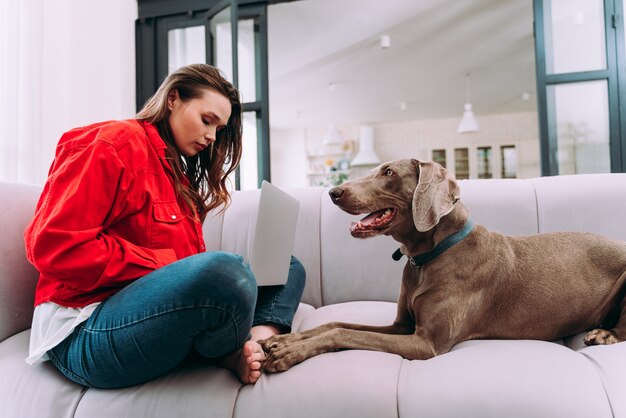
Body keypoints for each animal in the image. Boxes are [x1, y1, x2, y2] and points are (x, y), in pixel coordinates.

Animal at [258, 158, 624, 370]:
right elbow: (337, 324)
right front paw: (285, 341)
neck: (429, 257)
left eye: (388, 172)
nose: (334, 191)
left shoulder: (425, 343)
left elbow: (343, 333)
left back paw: (603, 336)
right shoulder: (402, 326)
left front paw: (289, 353)